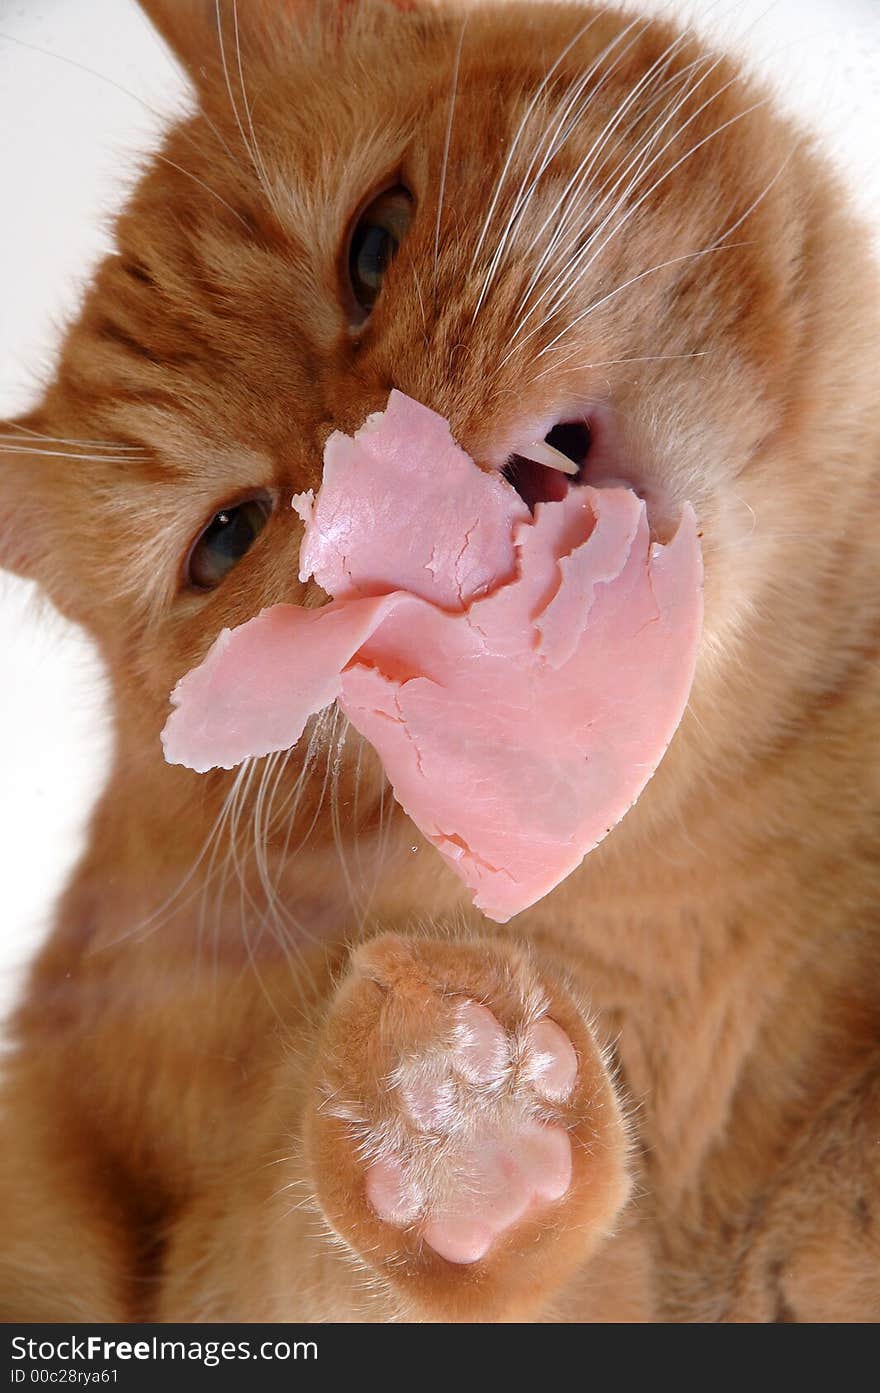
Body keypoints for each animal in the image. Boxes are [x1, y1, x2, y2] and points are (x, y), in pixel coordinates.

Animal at [1, 0, 880, 1320]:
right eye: (227, 539)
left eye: (375, 245)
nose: (371, 461)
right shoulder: (210, 1263)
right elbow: (331, 1248)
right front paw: (463, 1129)